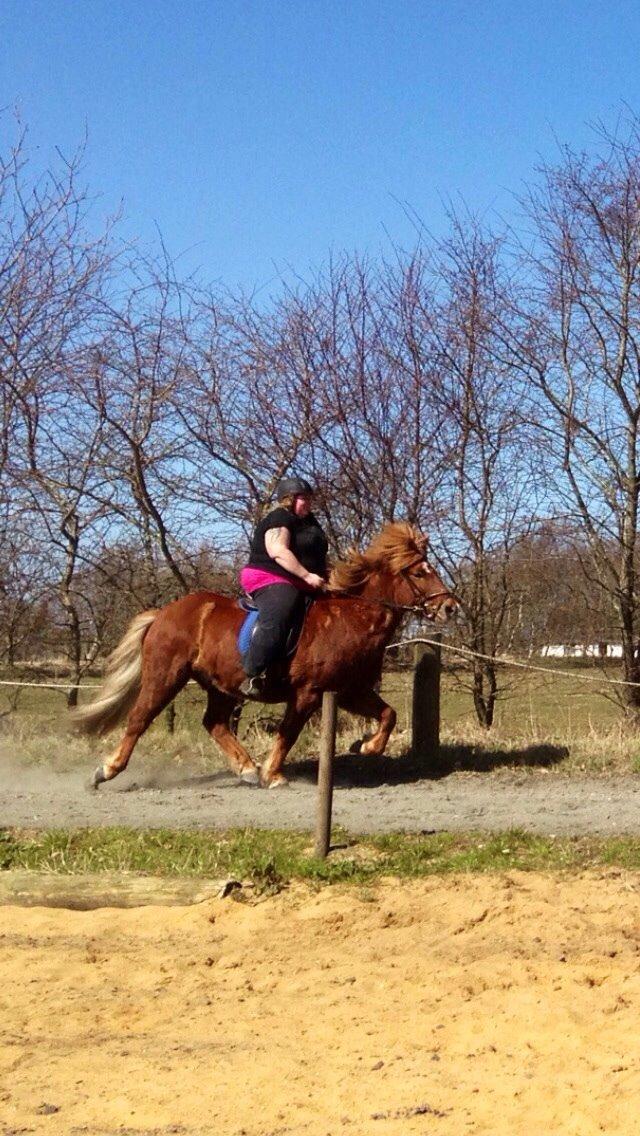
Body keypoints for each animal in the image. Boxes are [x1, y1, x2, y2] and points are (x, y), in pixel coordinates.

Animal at [76, 520, 454, 786]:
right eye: (419, 572)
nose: (450, 607)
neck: (351, 616)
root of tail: (164, 613)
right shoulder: (308, 692)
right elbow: (289, 733)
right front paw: (273, 774)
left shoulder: (349, 691)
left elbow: (389, 714)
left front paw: (365, 746)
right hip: (166, 675)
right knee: (140, 719)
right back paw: (106, 770)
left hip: (221, 685)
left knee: (214, 723)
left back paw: (246, 768)